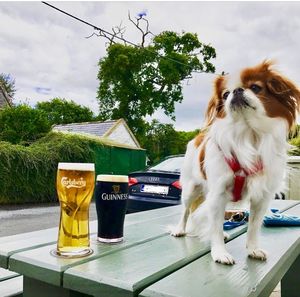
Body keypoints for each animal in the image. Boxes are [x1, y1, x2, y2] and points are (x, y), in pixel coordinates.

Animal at [171, 60, 300, 264]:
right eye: (225, 94)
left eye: (255, 87)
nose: (237, 91)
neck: (248, 133)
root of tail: (197, 138)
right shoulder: (218, 194)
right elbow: (215, 225)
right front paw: (219, 252)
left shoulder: (261, 198)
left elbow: (253, 227)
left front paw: (253, 249)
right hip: (191, 190)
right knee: (186, 212)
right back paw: (180, 229)